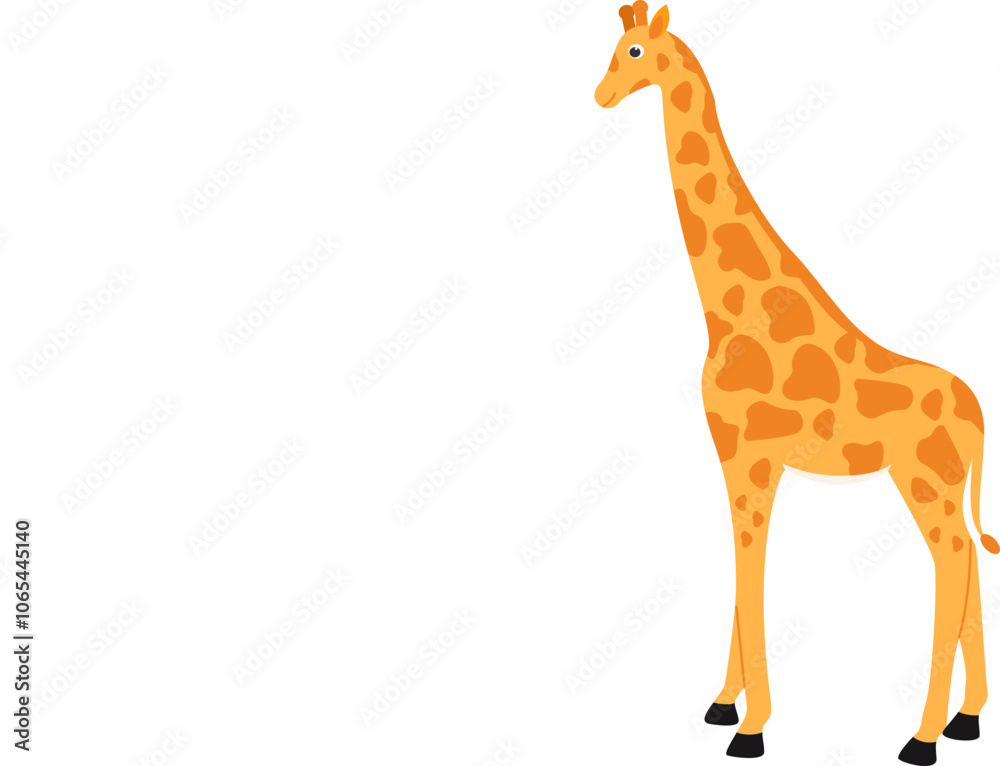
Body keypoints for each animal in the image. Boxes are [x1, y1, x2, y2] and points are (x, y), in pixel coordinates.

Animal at [594, 4, 997, 763]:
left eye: (633, 52)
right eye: (612, 50)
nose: (600, 96)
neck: (727, 311)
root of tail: (978, 411)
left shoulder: (750, 456)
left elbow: (748, 568)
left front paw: (751, 729)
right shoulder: (741, 457)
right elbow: (739, 569)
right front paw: (723, 705)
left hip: (923, 480)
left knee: (953, 561)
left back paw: (921, 737)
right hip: (940, 481)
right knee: (969, 565)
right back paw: (966, 719)